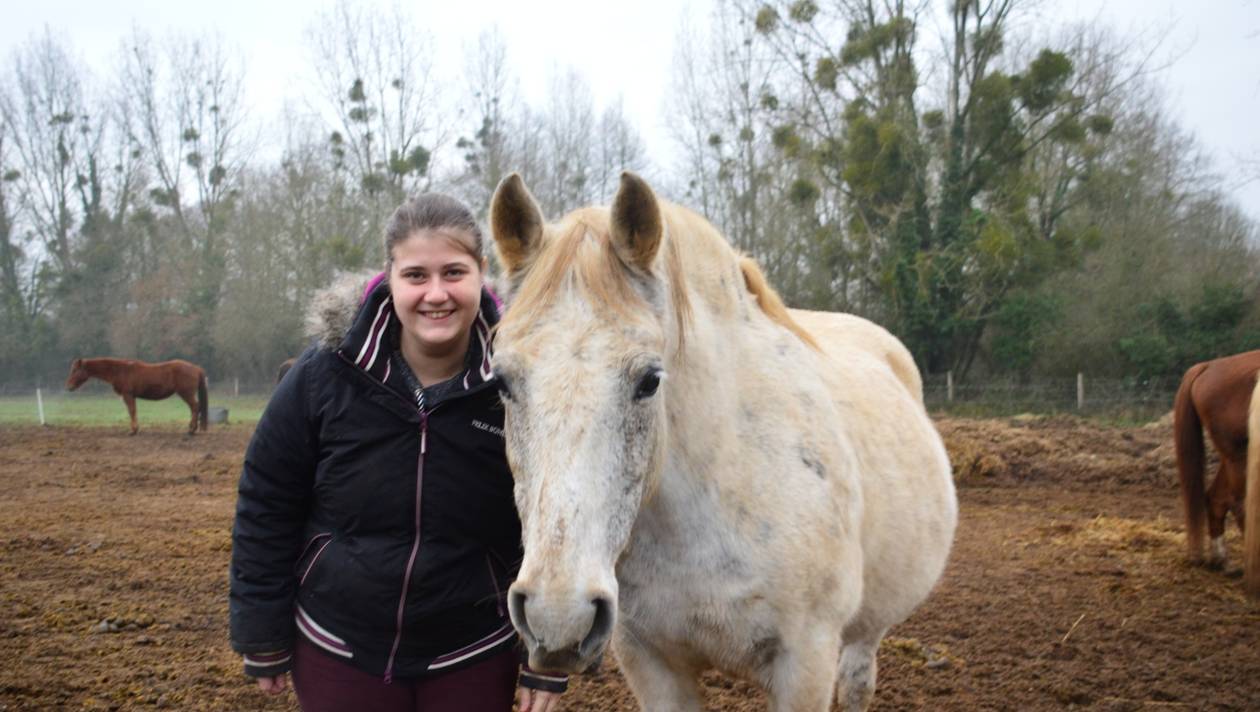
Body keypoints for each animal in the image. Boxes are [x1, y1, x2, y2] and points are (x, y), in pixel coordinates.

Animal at [64, 355, 209, 433]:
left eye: (75, 370)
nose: (68, 387)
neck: (120, 370)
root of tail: (196, 368)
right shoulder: (131, 396)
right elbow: (133, 410)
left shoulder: (128, 395)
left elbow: (132, 411)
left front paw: (133, 430)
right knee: (195, 408)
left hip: (186, 394)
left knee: (195, 407)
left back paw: (191, 430)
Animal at [488, 173, 952, 710]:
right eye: (501, 380)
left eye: (649, 380)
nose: (558, 614)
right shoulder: (651, 663)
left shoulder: (806, 663)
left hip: (865, 634)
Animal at [1169, 347, 1260, 594]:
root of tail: (1208, 366)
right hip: (1239, 457)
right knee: (1240, 505)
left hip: (1231, 458)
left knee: (1217, 498)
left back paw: (1222, 560)